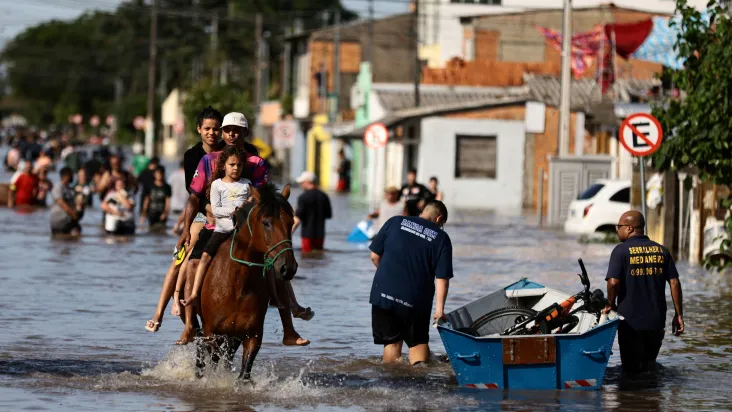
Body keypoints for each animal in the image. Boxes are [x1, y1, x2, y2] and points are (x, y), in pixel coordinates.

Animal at [196, 183, 298, 384]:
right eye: (266, 222)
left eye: (291, 222)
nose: (288, 268)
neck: (238, 285)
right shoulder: (212, 333)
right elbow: (213, 361)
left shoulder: (252, 334)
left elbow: (244, 372)